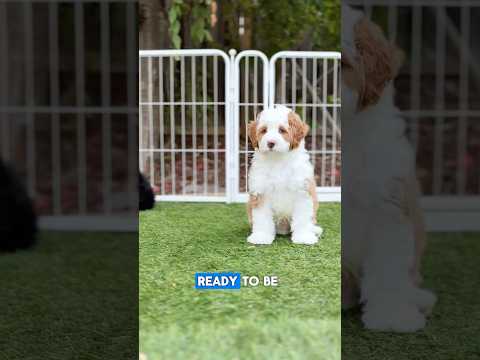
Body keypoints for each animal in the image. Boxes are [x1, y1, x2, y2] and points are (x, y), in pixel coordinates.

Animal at [246, 106, 320, 245]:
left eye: (282, 130)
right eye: (264, 130)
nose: (270, 143)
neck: (278, 159)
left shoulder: (302, 190)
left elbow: (303, 217)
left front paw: (304, 237)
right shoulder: (261, 191)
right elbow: (262, 217)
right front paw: (261, 237)